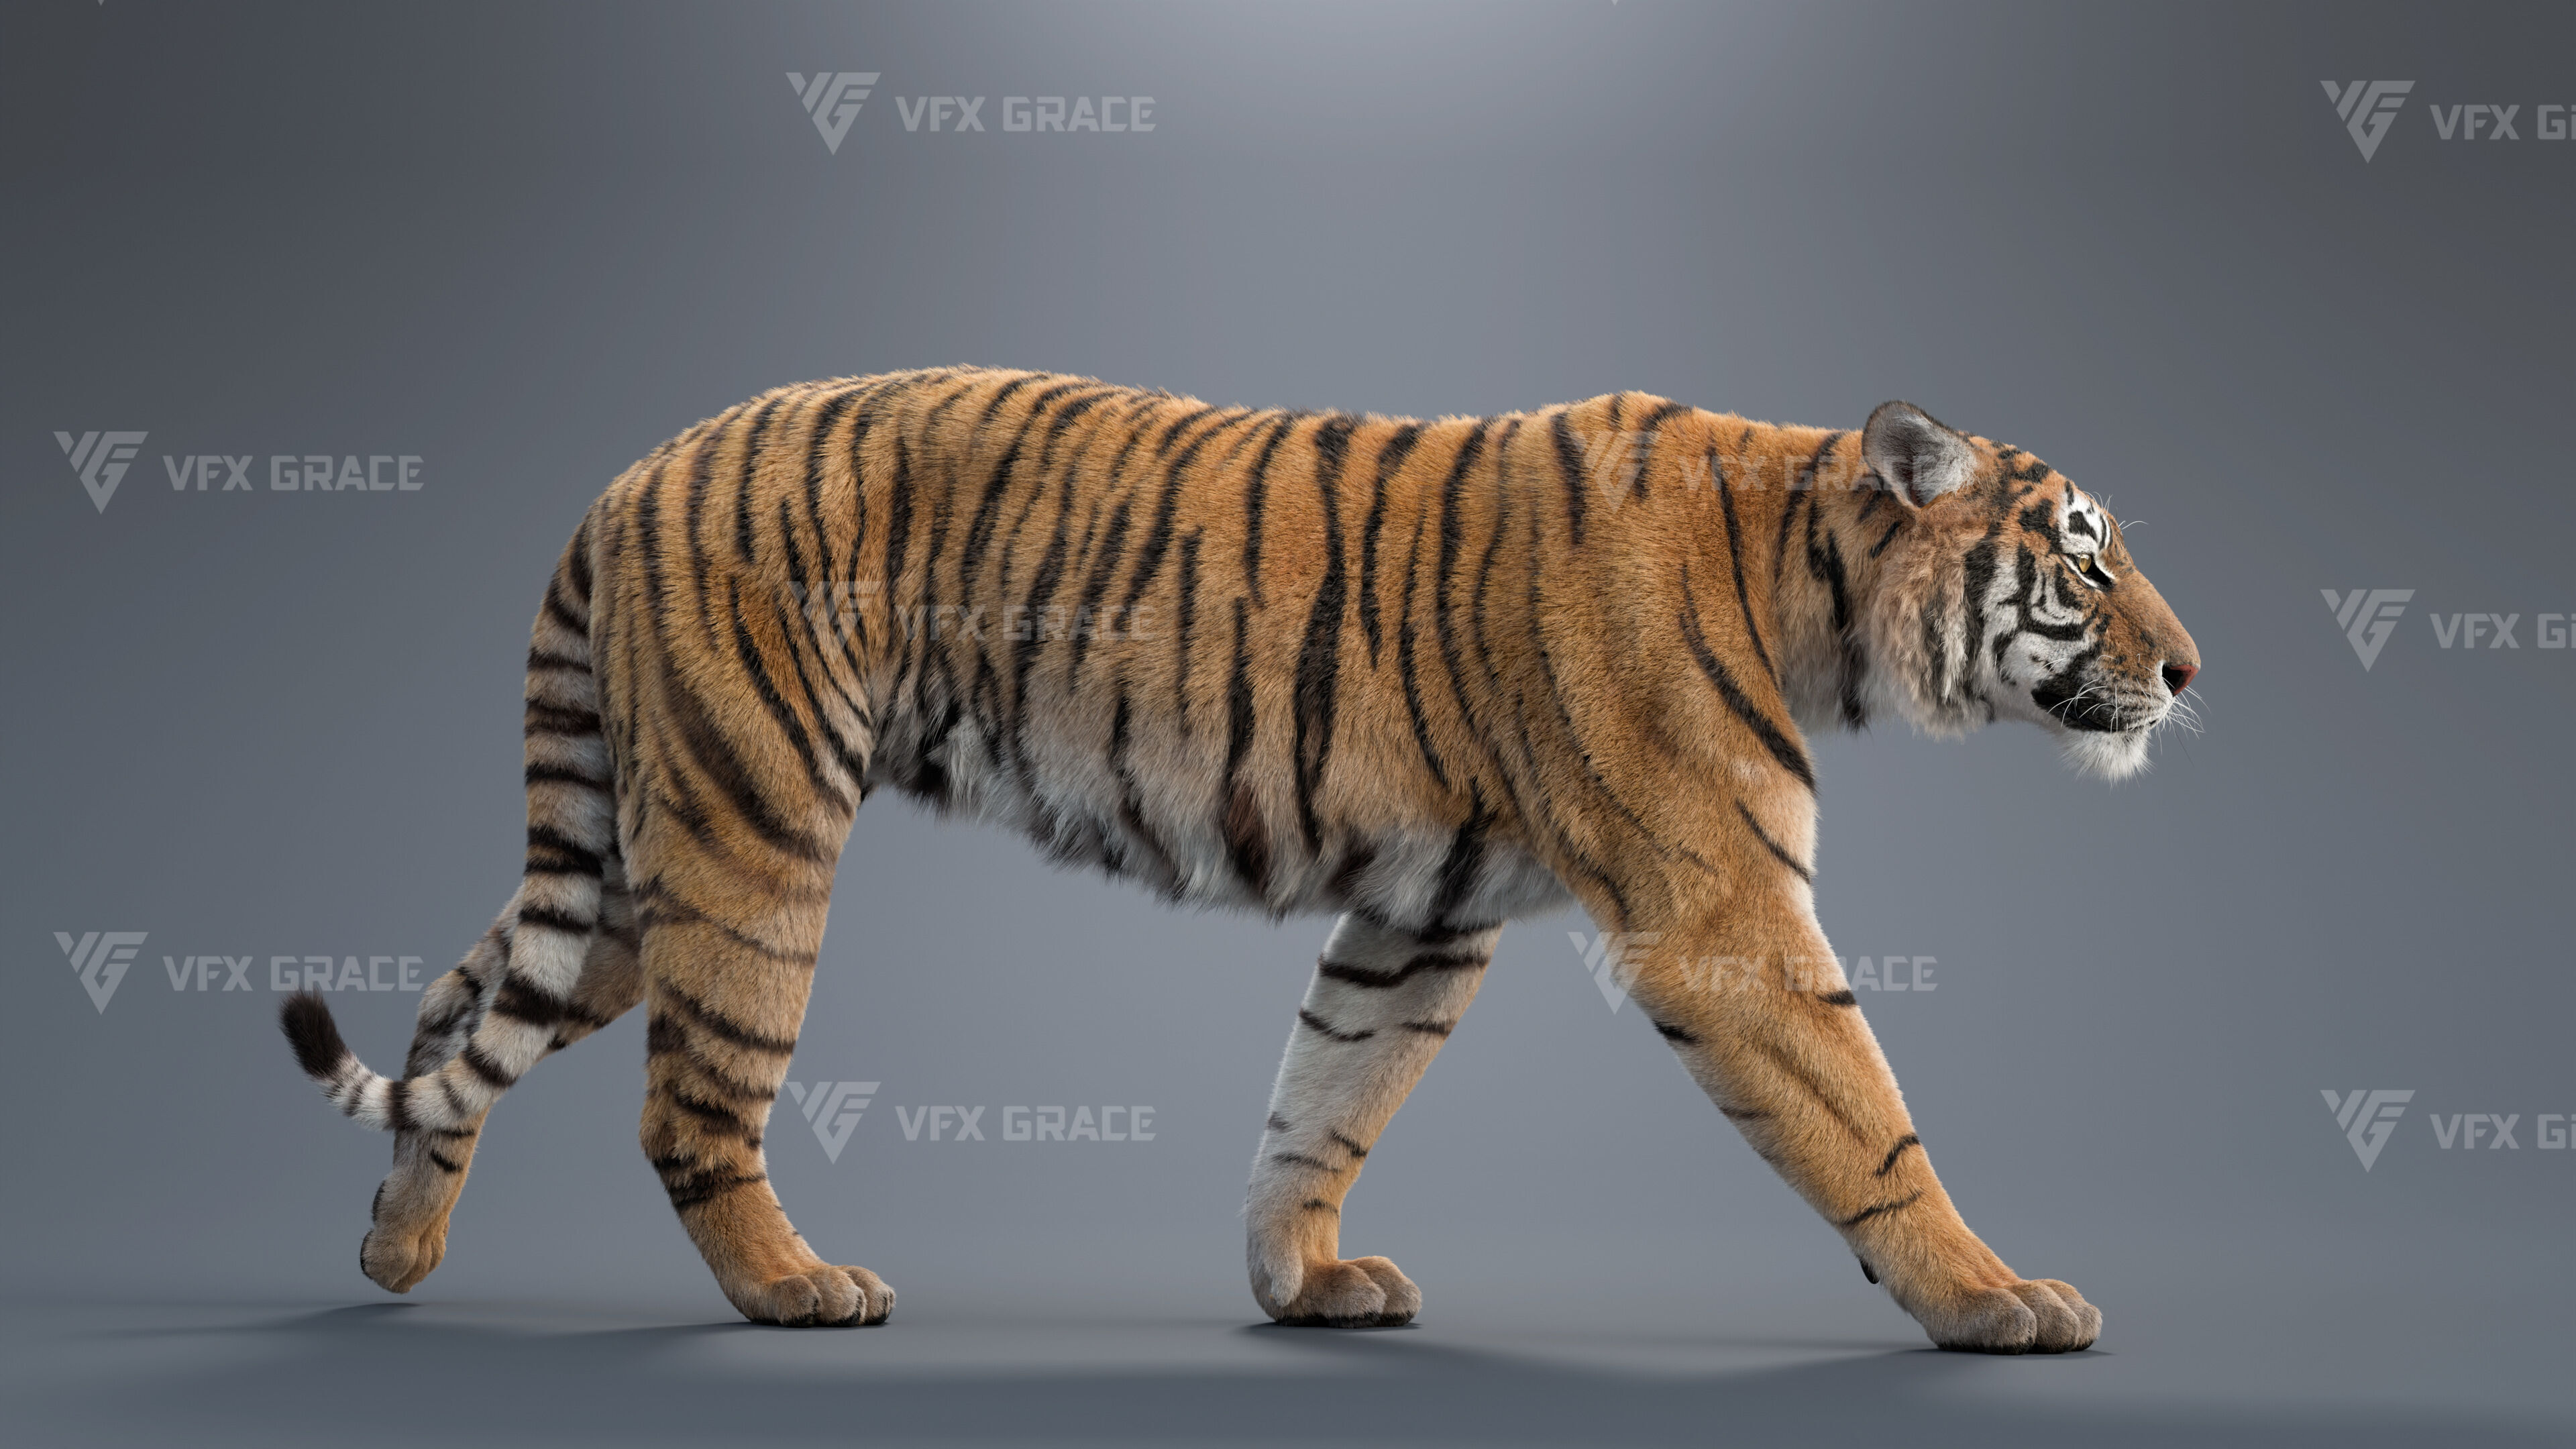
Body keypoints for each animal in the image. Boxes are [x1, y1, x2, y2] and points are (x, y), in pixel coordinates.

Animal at [280, 366, 2198, 1352]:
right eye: (2085, 559)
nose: (2193, 673)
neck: (1813, 582)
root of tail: (632, 468)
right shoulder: (1717, 910)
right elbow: (1864, 1118)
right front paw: (1995, 1297)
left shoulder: (1423, 909)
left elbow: (1325, 1098)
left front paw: (1300, 1280)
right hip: (753, 833)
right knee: (686, 1103)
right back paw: (795, 1288)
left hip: (632, 854)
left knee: (460, 1020)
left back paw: (393, 1251)